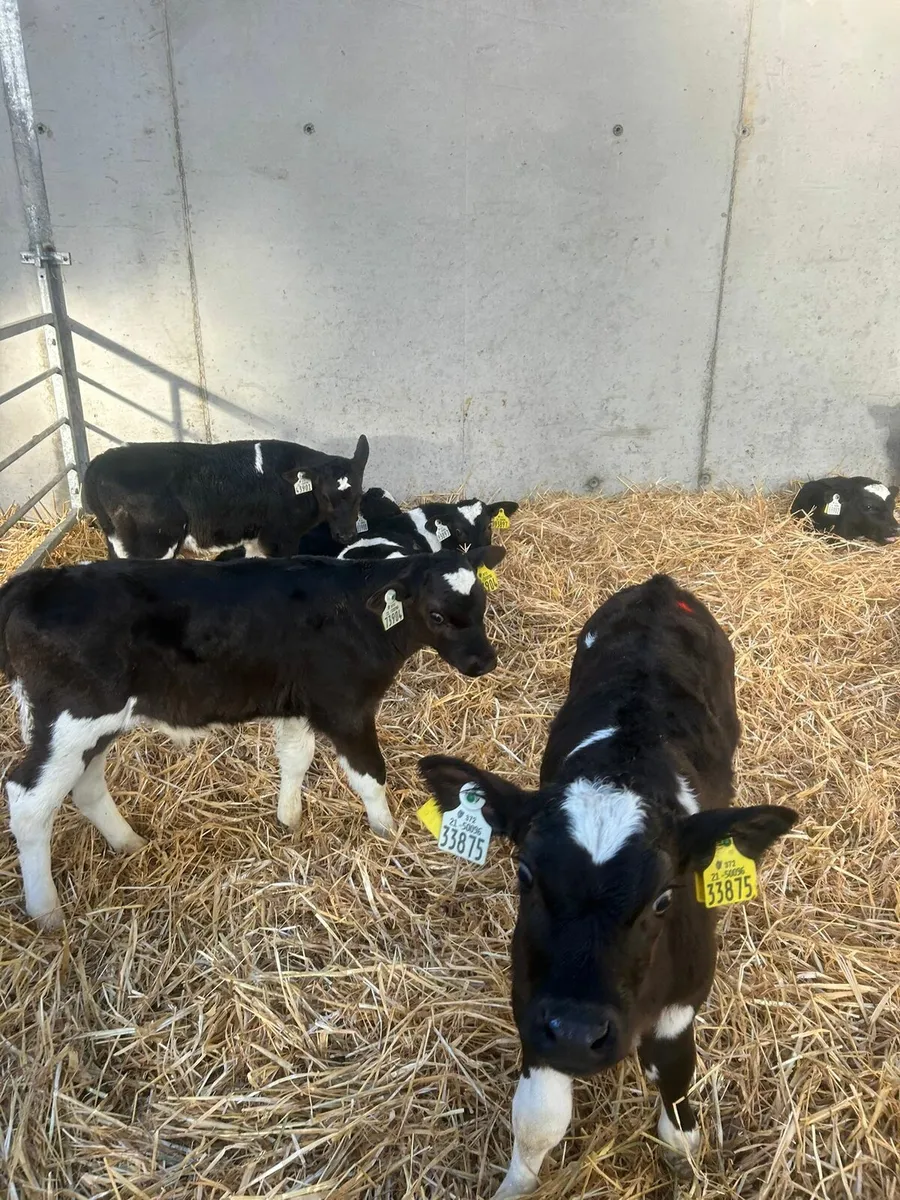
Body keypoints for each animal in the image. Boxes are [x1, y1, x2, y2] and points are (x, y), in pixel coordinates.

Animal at [0, 544, 504, 931]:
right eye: (437, 615)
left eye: (480, 603)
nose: (484, 661)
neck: (360, 613)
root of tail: (30, 585)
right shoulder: (347, 709)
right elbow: (369, 776)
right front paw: (387, 833)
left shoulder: (299, 704)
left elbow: (296, 758)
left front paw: (289, 819)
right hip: (73, 720)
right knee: (28, 799)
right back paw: (46, 913)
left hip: (94, 728)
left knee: (85, 786)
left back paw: (129, 844)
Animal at [83, 436, 370, 560]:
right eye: (325, 496)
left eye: (359, 495)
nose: (346, 535)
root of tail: (99, 462)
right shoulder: (280, 539)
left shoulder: (257, 540)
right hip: (153, 545)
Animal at [419, 574, 796, 1198]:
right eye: (525, 874)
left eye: (665, 898)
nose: (577, 1032)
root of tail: (661, 586)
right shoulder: (532, 1001)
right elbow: (539, 1118)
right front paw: (516, 1184)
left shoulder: (682, 1002)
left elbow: (675, 1083)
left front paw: (685, 1159)